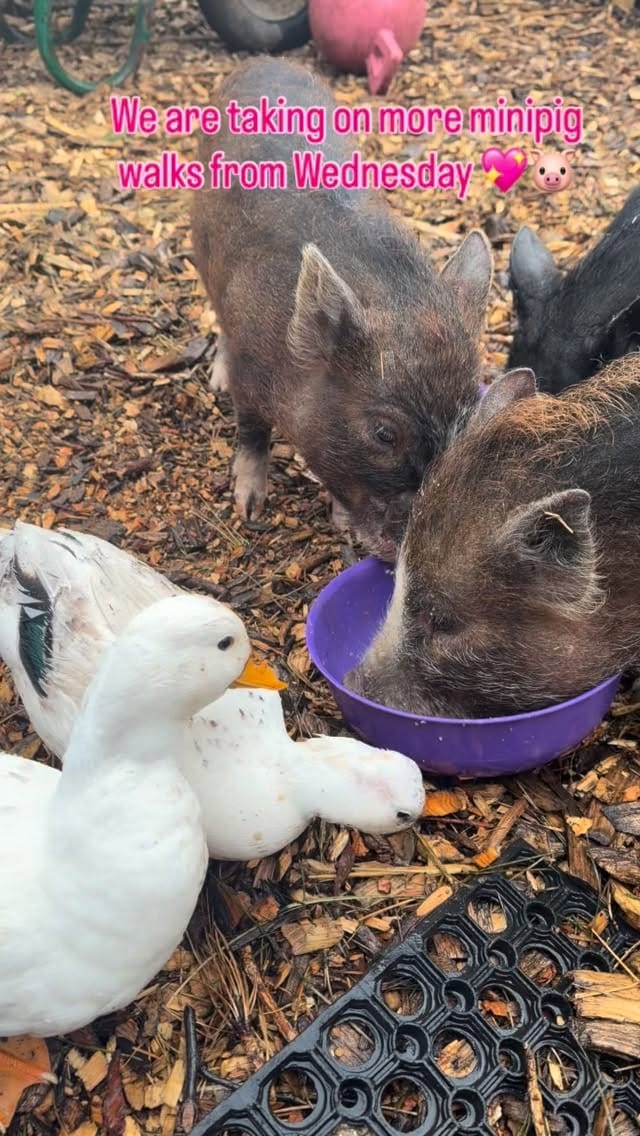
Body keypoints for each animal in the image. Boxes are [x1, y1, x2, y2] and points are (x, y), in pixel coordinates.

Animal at [190, 58, 493, 559]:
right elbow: (251, 431)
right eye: (384, 434)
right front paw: (248, 506)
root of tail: (262, 61)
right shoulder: (251, 374)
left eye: (464, 424)